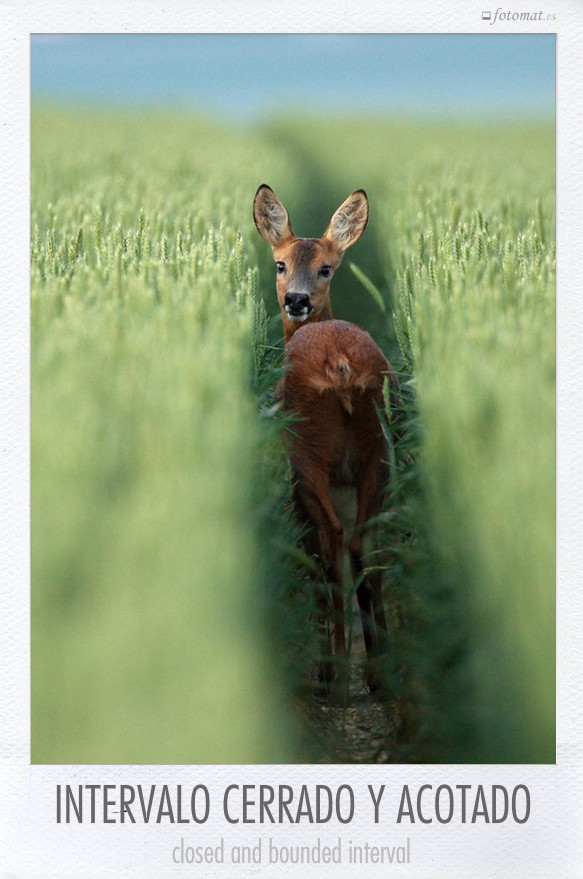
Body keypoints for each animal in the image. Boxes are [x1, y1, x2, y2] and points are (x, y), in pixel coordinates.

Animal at [253, 182, 400, 696]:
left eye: (325, 268)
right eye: (280, 264)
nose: (296, 300)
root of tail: (339, 365)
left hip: (307, 454)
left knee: (333, 546)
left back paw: (332, 672)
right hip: (378, 452)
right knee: (363, 546)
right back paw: (376, 669)